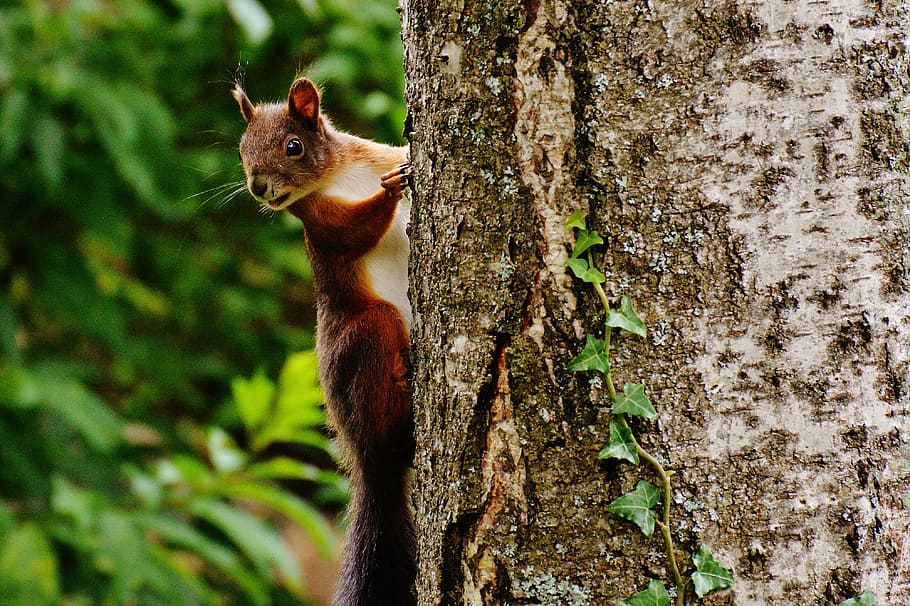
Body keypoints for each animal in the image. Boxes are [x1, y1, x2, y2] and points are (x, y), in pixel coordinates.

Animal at [232, 77, 415, 606]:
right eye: (242, 151)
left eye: (293, 146)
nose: (259, 188)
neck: (342, 173)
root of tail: (370, 466)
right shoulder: (319, 224)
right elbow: (353, 232)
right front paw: (391, 189)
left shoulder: (372, 152)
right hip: (368, 329)